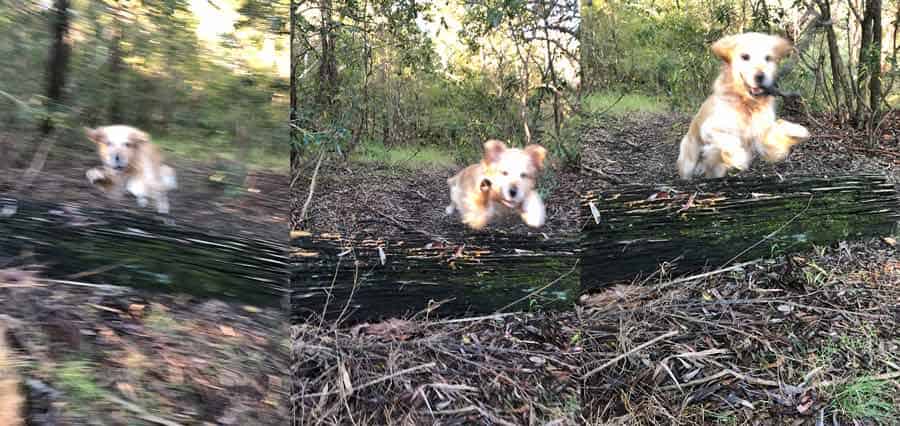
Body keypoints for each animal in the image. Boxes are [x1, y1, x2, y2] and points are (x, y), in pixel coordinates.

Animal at [680, 32, 812, 180]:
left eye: (768, 58)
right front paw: (739, 158)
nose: (760, 76)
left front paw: (798, 130)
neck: (748, 103)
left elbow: (778, 127)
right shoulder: (710, 128)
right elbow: (729, 140)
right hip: (689, 160)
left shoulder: (761, 137)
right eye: (745, 57)